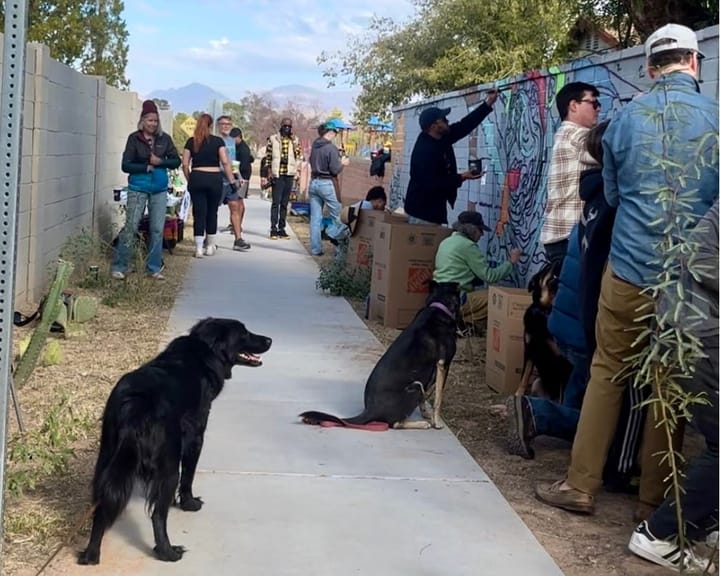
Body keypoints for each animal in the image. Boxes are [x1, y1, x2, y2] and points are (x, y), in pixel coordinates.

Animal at [300, 282, 458, 430]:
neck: (438, 305)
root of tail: (369, 411)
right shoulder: (444, 364)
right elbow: (438, 398)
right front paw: (436, 422)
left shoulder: (434, 369)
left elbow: (427, 396)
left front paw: (426, 413)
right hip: (415, 386)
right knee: (395, 424)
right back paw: (421, 424)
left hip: (419, 382)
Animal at [516, 262, 572, 400]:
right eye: (547, 267)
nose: (559, 262)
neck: (545, 310)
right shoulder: (529, 350)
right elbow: (524, 377)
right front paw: (518, 394)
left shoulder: (562, 361)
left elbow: (562, 395)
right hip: (537, 383)